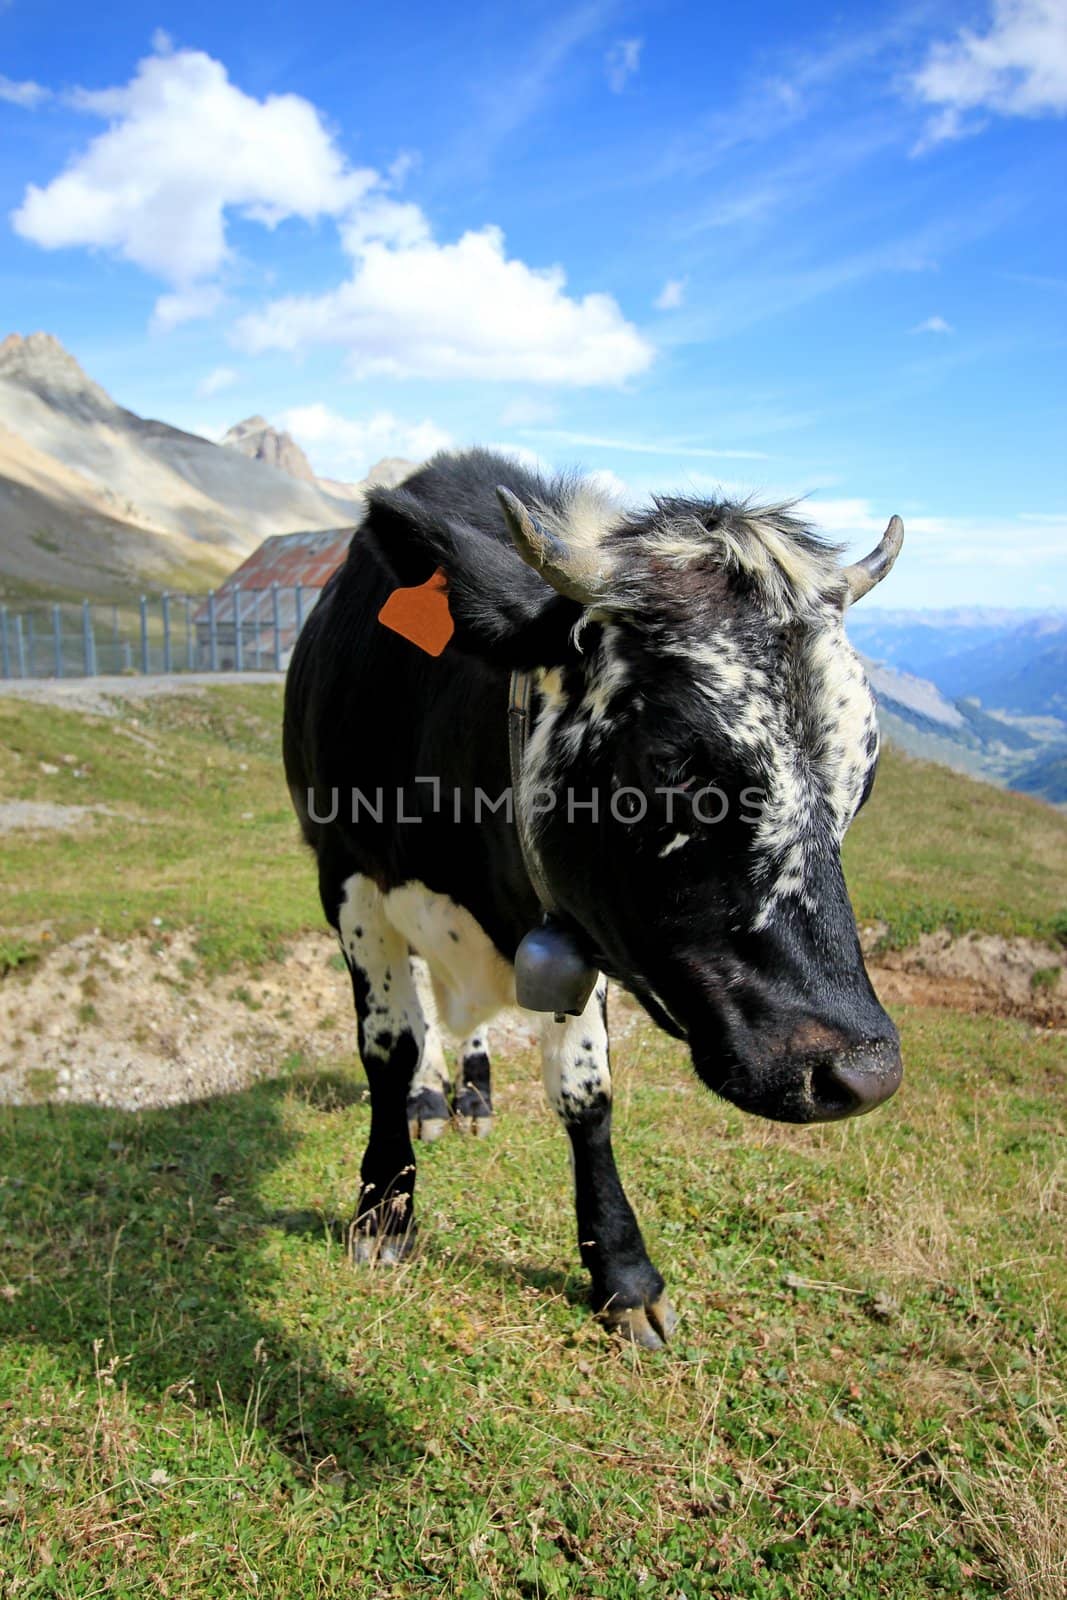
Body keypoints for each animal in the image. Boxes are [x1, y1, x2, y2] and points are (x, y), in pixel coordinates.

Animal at [283, 451, 902, 1350]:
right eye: (672, 758)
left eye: (865, 766)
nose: (860, 1072)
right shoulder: (349, 880)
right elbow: (389, 1047)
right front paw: (384, 1209)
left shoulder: (578, 927)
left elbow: (586, 1092)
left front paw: (622, 1273)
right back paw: (433, 1096)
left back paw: (471, 1091)